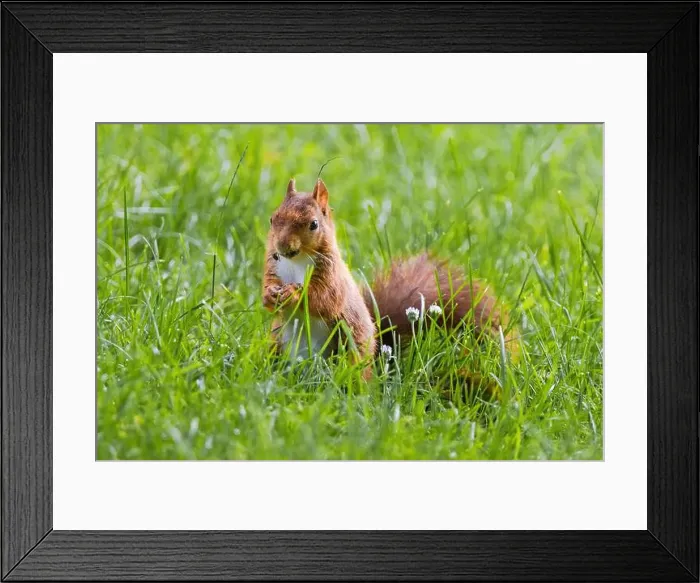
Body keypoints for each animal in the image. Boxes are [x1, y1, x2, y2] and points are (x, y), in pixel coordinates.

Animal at [262, 177, 519, 393]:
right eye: (272, 218)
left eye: (313, 224)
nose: (282, 247)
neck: (297, 261)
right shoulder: (273, 267)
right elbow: (269, 285)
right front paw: (269, 295)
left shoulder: (331, 278)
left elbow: (323, 299)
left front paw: (293, 294)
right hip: (277, 341)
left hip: (349, 347)